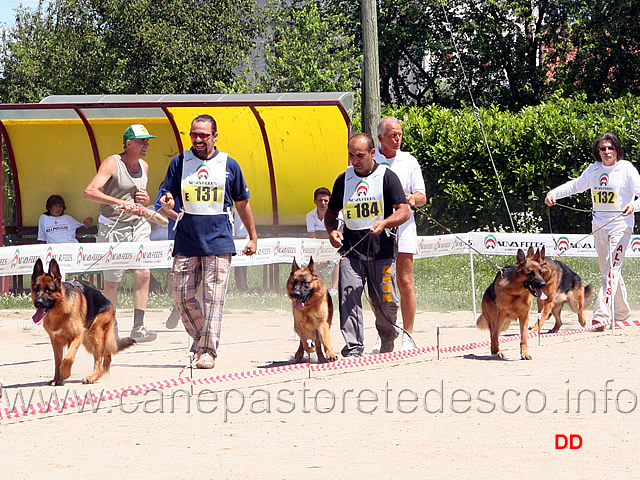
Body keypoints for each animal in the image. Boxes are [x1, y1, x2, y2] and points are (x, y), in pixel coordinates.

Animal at [31, 256, 134, 384]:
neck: (60, 310)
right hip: (90, 341)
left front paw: (64, 374)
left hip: (94, 336)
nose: (38, 302)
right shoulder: (56, 341)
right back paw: (104, 374)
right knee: (107, 355)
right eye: (36, 289)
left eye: (49, 290)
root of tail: (109, 302)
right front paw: (57, 379)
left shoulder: (77, 337)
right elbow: (57, 362)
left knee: (99, 363)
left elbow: (68, 358)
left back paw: (92, 377)